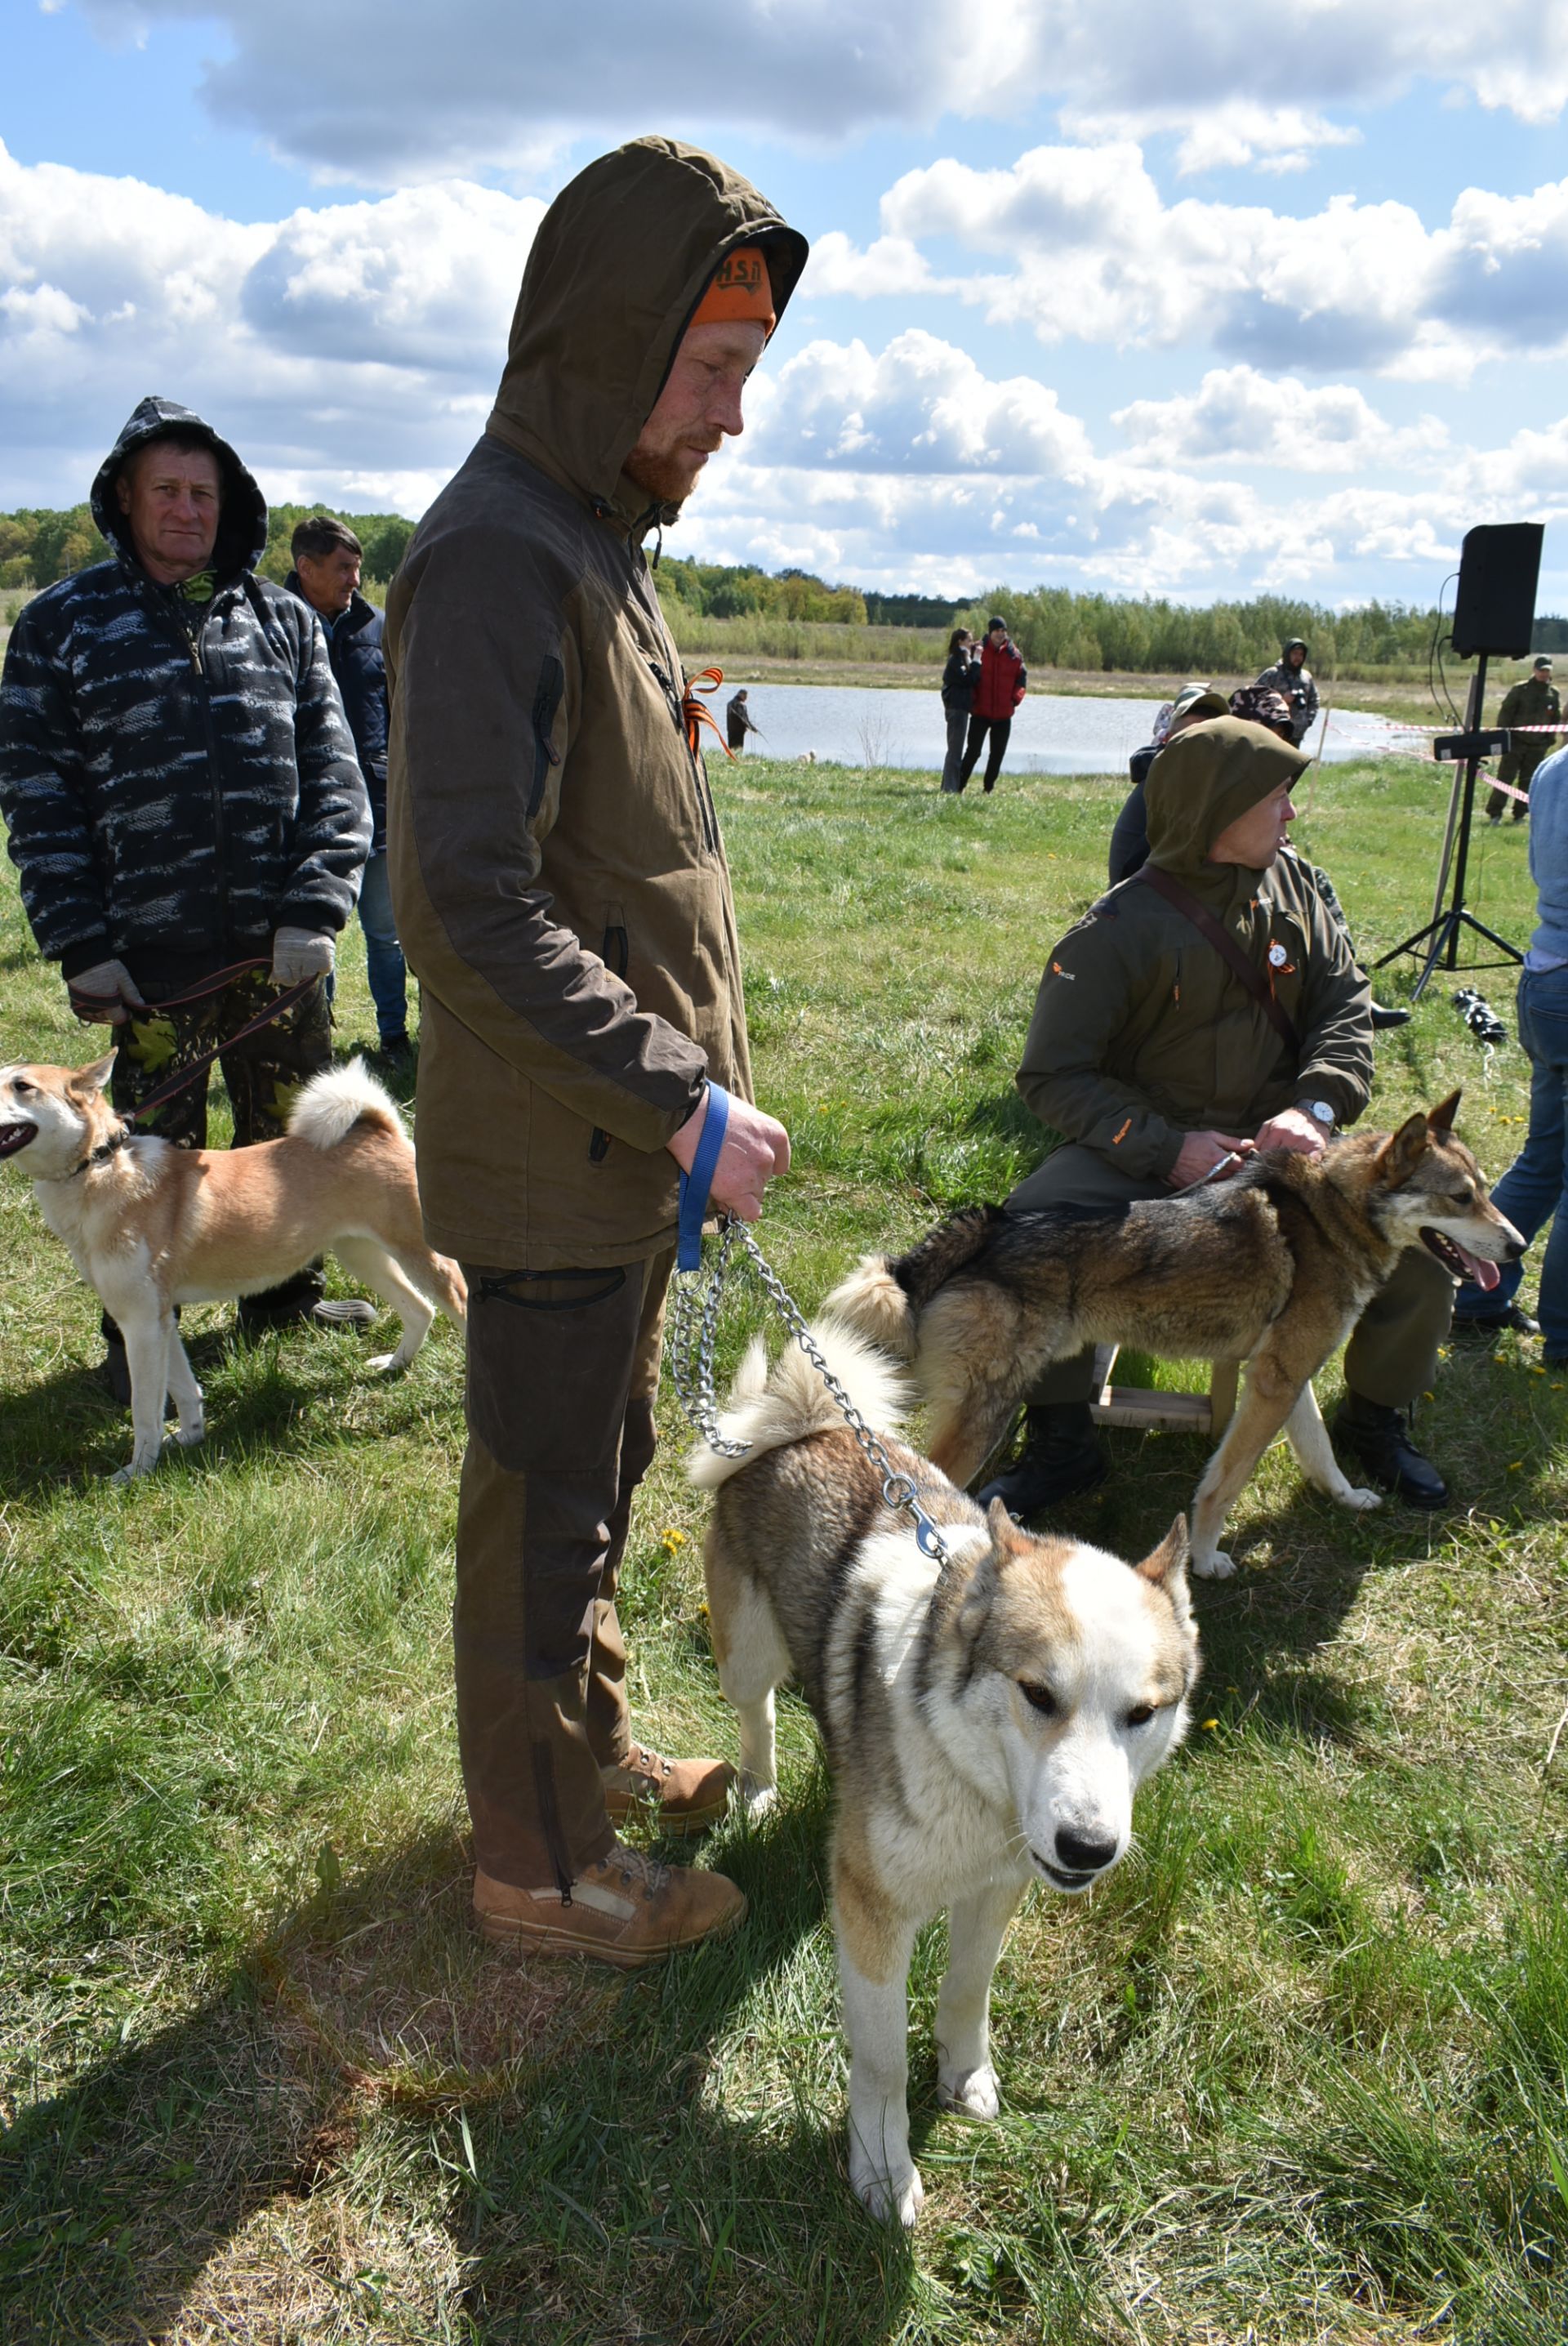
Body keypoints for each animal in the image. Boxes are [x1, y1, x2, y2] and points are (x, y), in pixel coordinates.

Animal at [0, 1060, 464, 1483]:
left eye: (23, 1086)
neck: (99, 1165)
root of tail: (378, 1128)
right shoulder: (159, 1320)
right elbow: (185, 1392)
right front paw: (188, 1439)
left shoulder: (140, 1324)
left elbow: (145, 1413)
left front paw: (136, 1472)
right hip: (361, 1255)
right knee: (420, 1310)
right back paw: (395, 1366)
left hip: (422, 1257)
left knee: (458, 1308)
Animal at [688, 1332, 1200, 2223]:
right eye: (1038, 1694)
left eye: (1142, 1712)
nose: (1088, 1847)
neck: (974, 1784)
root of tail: (805, 1424)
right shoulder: (872, 1914)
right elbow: (882, 2061)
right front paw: (884, 2173)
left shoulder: (998, 1888)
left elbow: (968, 1986)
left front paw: (966, 2080)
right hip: (745, 1656)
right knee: (760, 1718)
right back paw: (757, 1791)